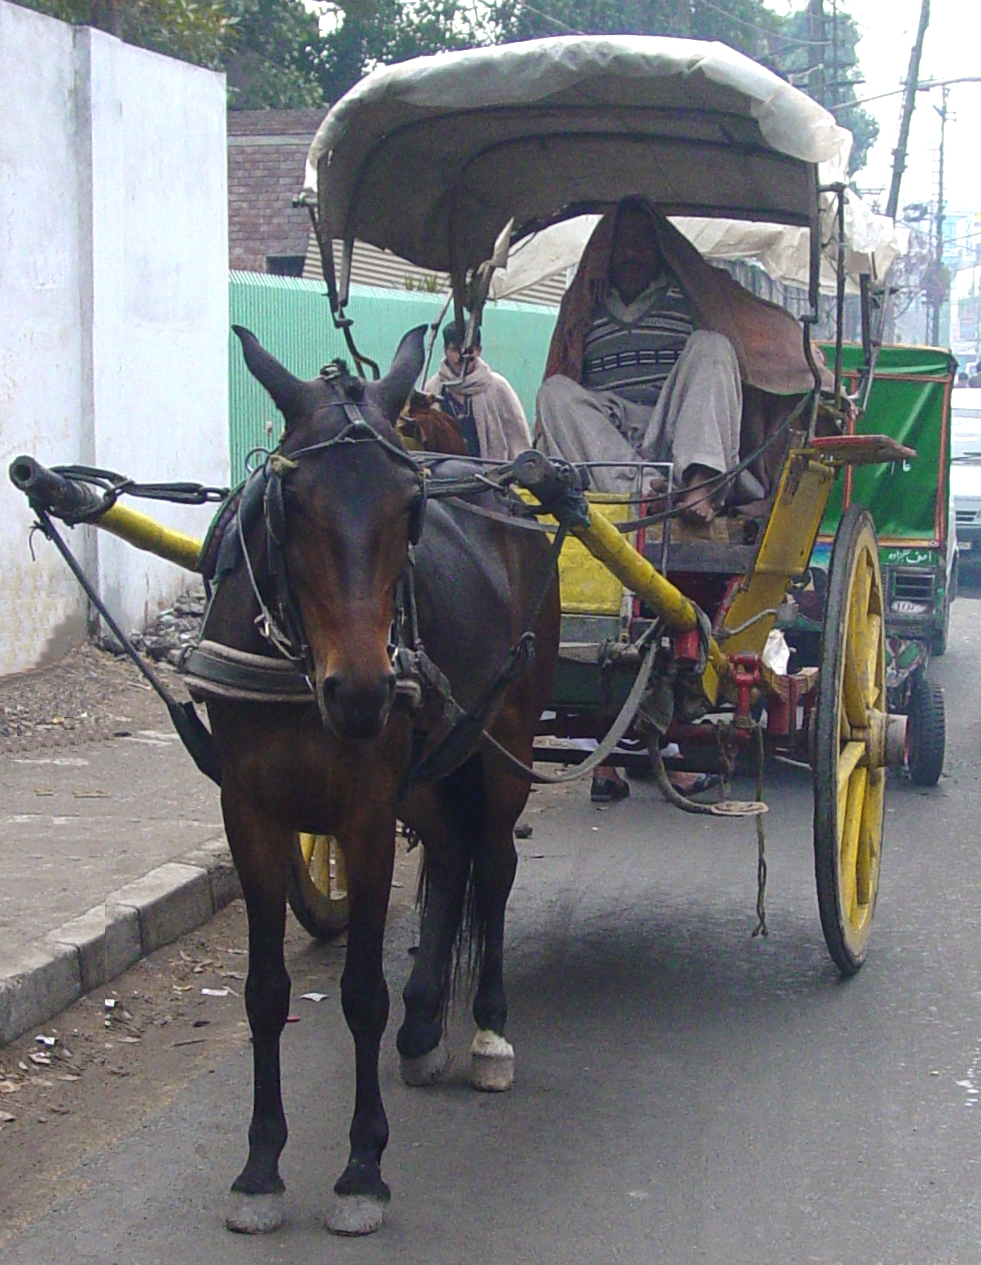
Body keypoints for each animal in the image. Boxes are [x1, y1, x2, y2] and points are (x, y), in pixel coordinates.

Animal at [205, 323, 559, 1234]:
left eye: (410, 508)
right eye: (292, 505)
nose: (363, 692)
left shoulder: (364, 815)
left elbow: (362, 990)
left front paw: (362, 1166)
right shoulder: (248, 812)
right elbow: (264, 991)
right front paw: (259, 1167)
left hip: (501, 736)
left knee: (493, 866)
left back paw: (487, 1032)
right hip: (435, 765)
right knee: (450, 856)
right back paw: (425, 1021)